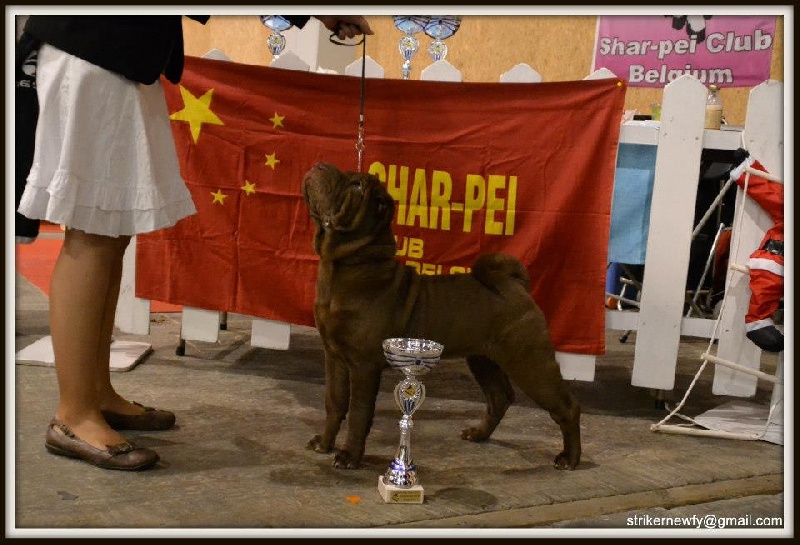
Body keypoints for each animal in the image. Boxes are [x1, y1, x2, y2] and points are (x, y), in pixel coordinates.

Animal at [301, 162, 581, 470]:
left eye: (357, 186)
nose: (320, 165)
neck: (344, 266)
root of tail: (513, 283)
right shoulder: (335, 357)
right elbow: (335, 402)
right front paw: (325, 443)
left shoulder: (363, 366)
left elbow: (359, 412)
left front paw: (350, 456)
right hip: (483, 360)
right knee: (500, 397)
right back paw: (478, 434)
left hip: (530, 363)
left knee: (567, 407)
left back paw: (570, 458)